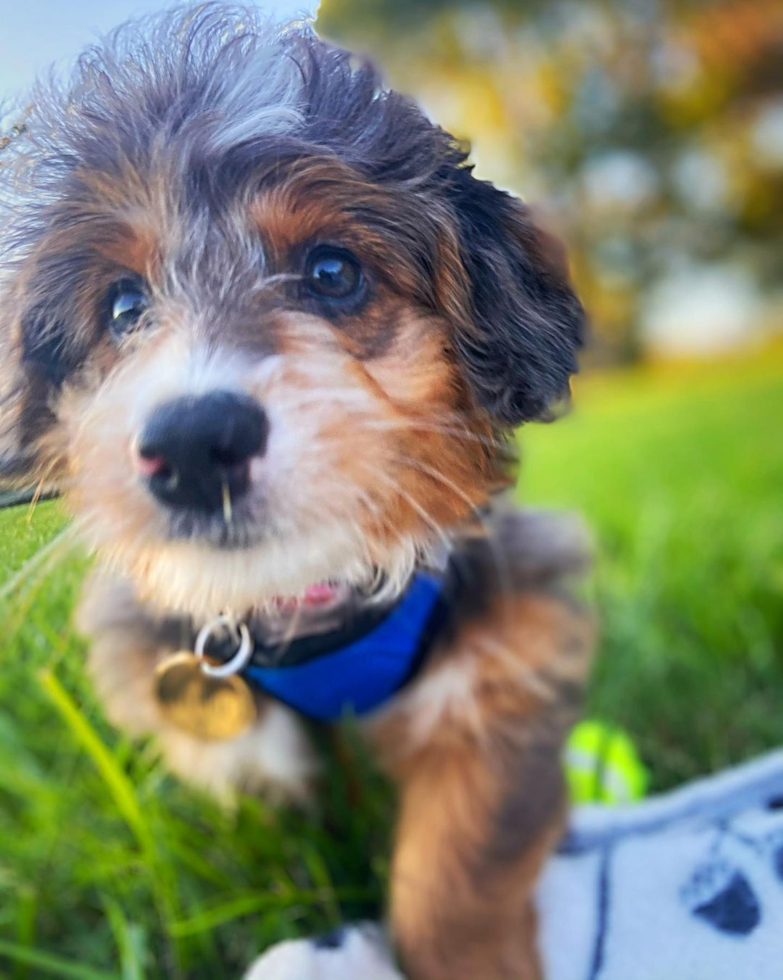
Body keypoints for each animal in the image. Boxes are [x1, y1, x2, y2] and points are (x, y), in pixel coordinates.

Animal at [0, 7, 596, 980]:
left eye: (332, 272)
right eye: (123, 307)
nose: (192, 446)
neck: (302, 600)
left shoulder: (505, 658)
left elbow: (454, 872)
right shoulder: (231, 753)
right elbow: (287, 852)